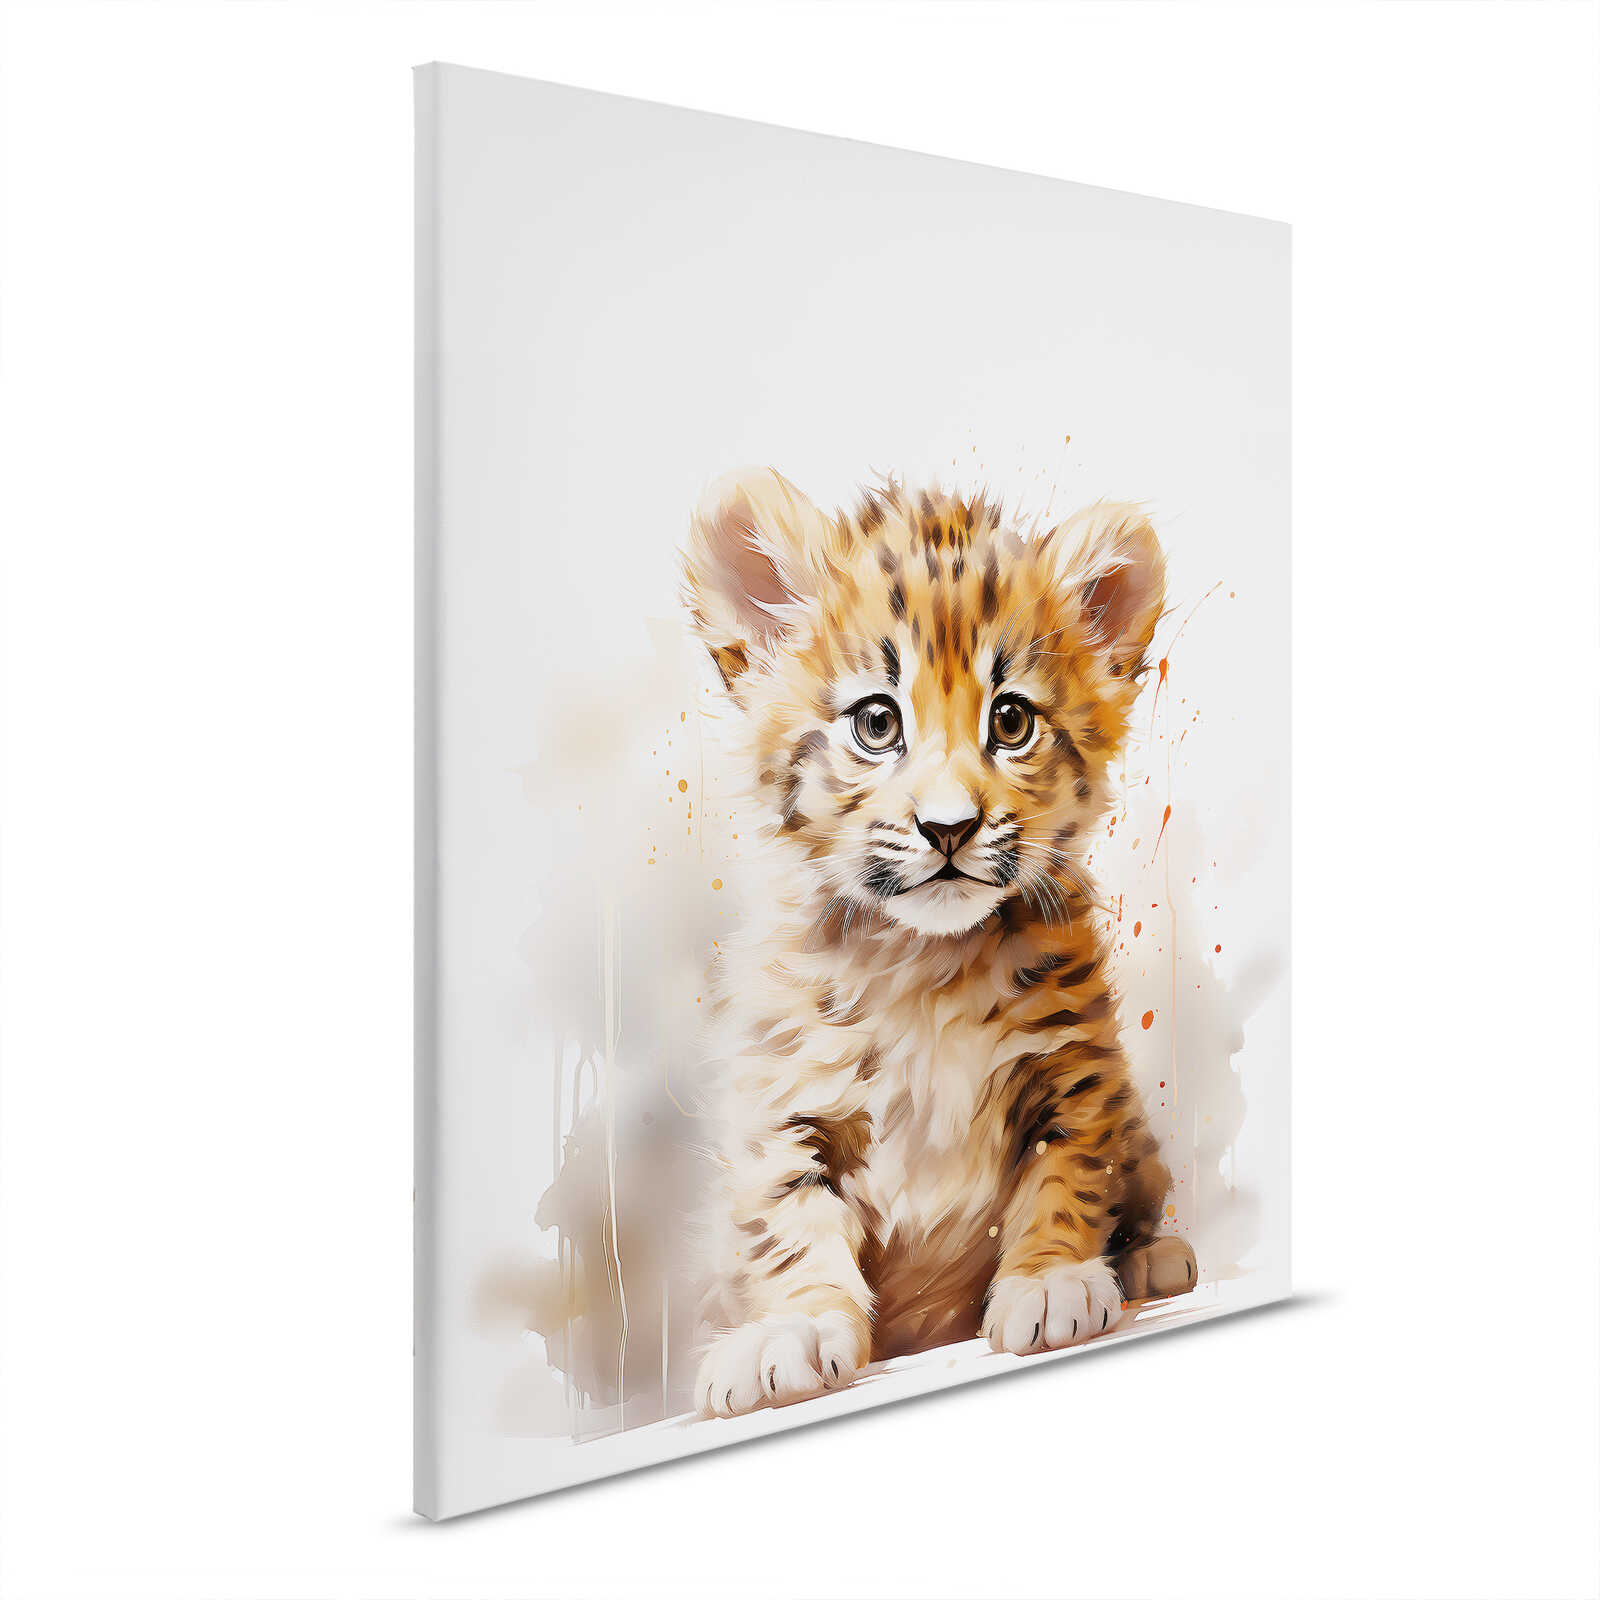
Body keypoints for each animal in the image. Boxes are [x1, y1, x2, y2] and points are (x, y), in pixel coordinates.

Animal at [680, 467, 1195, 1418]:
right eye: (877, 724)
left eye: (1012, 720)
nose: (950, 828)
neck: (924, 968)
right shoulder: (784, 1106)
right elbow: (788, 1221)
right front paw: (793, 1329)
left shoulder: (1076, 1073)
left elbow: (1069, 1177)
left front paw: (1050, 1282)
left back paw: (1151, 1259)